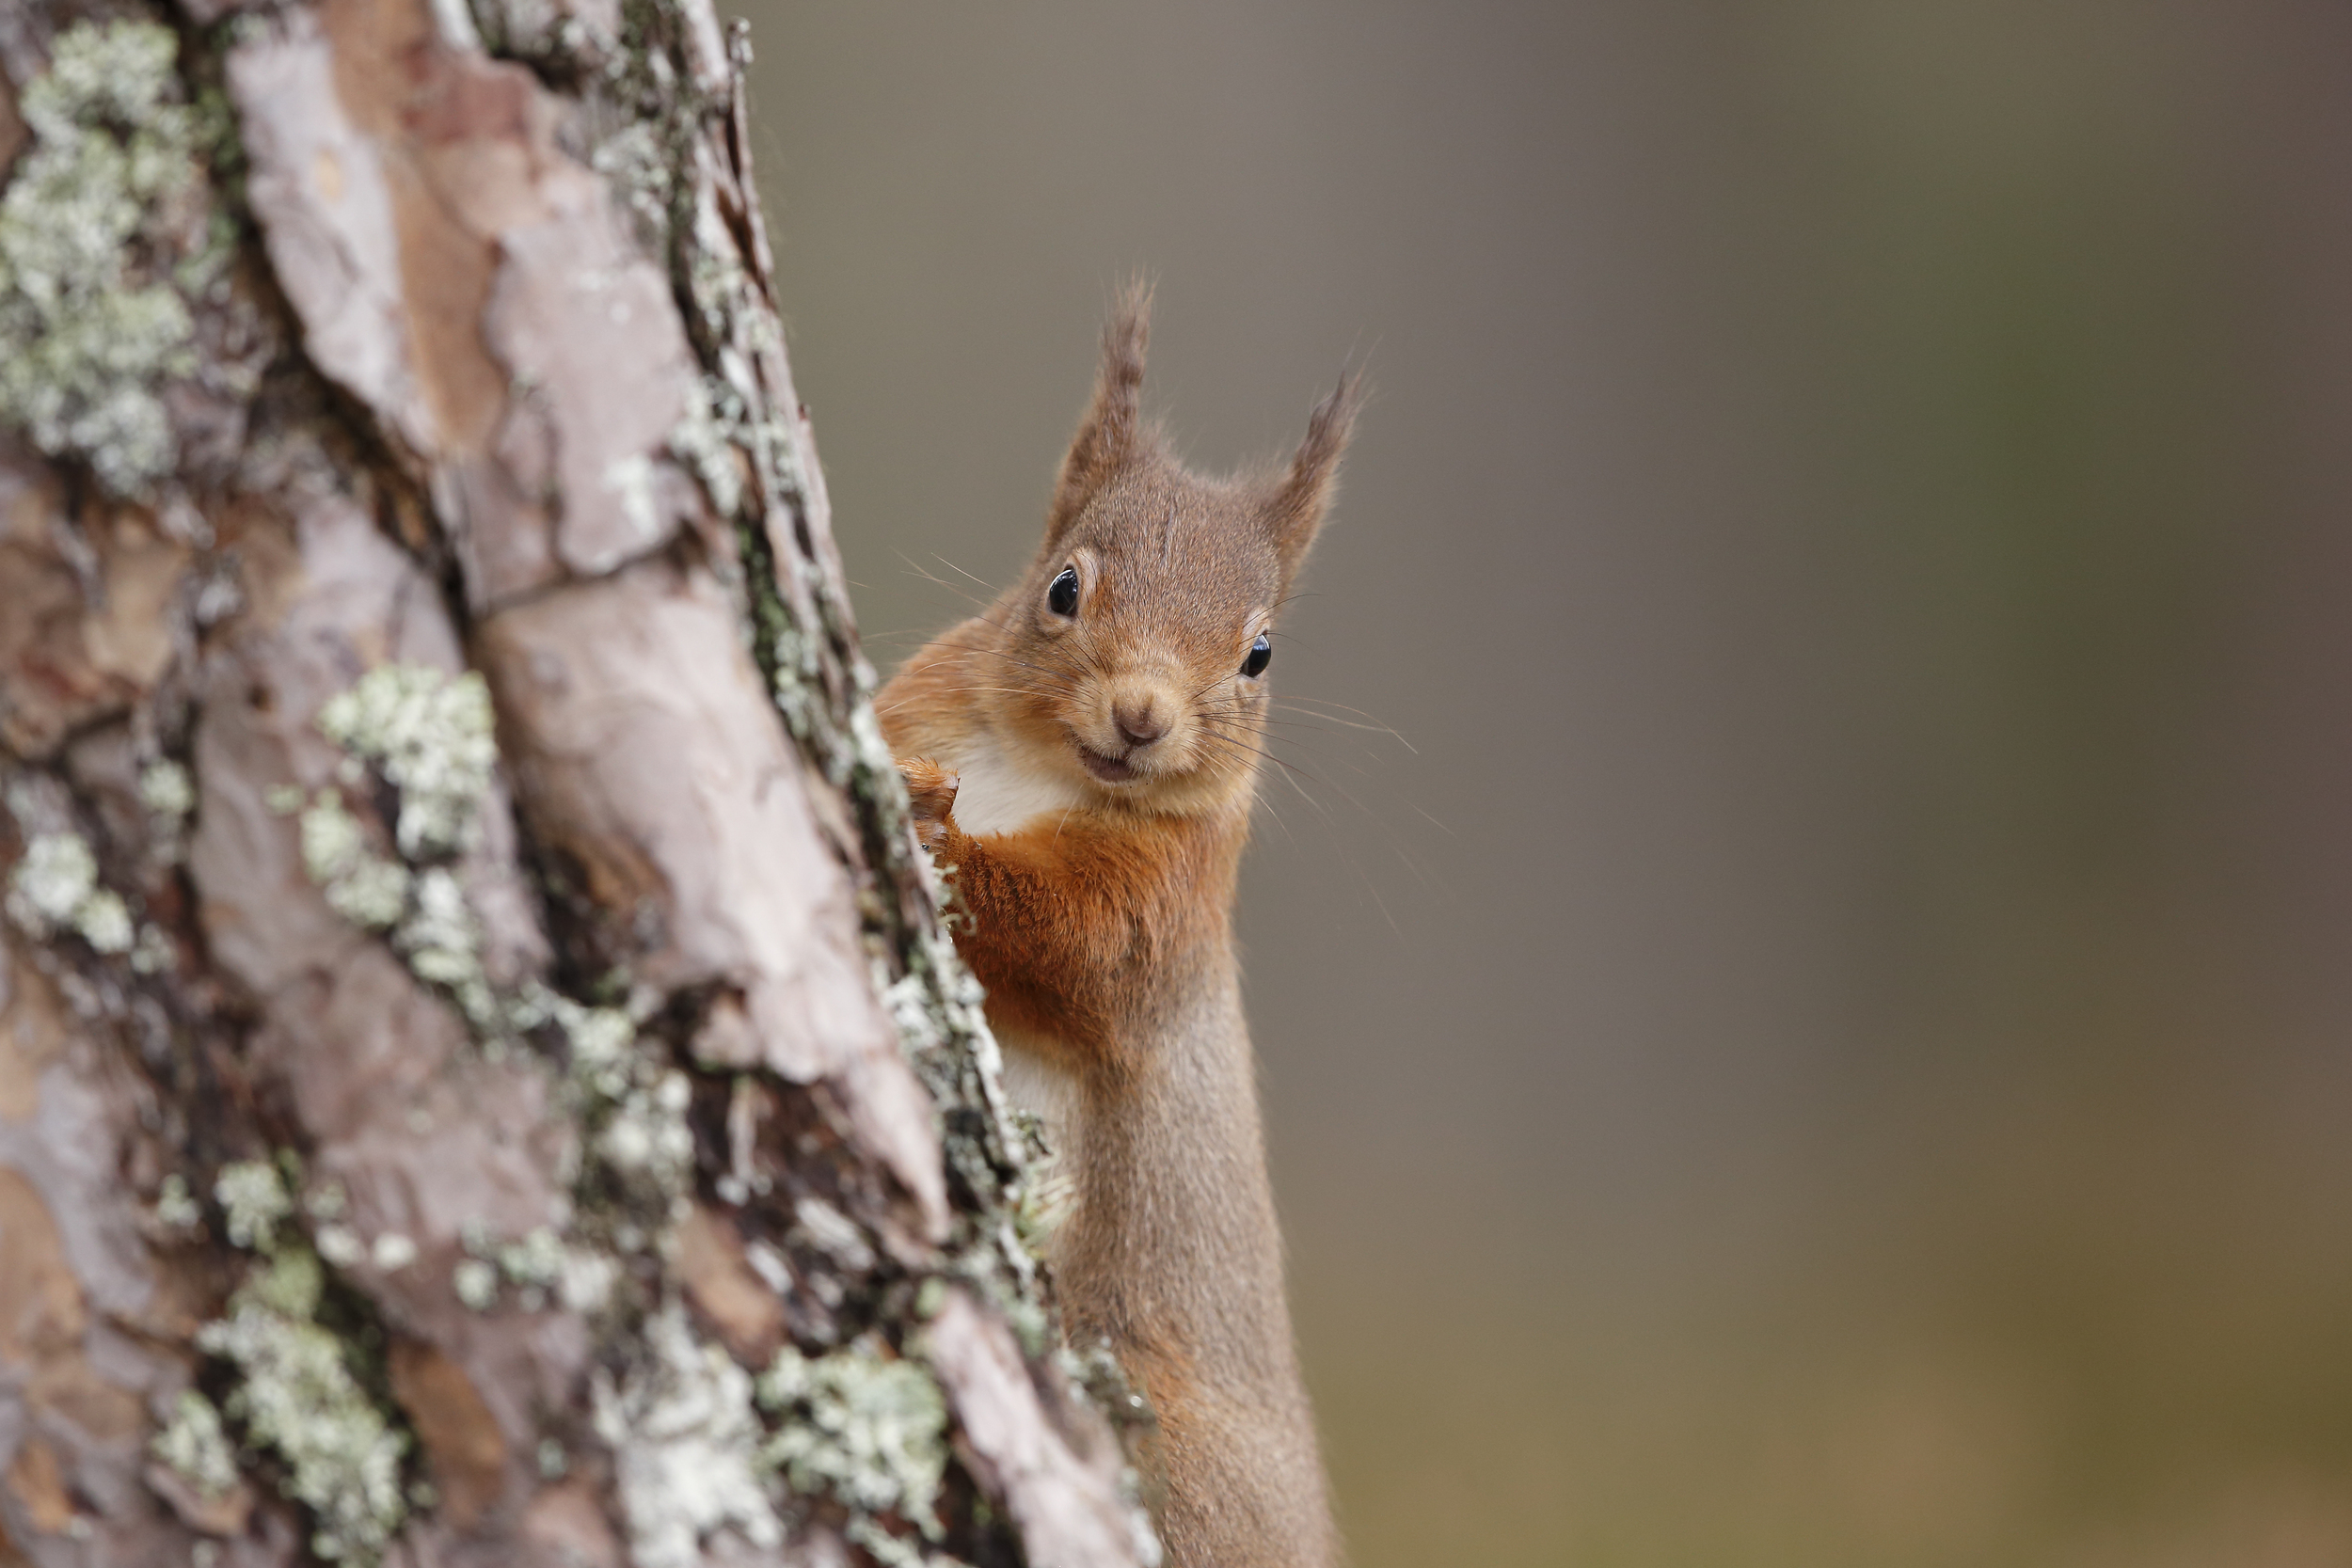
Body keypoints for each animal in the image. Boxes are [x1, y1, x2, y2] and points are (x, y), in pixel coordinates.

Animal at [884, 288, 1364, 1560]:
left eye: (1258, 654)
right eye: (1062, 587)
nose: (1141, 714)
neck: (1037, 769)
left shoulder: (1161, 909)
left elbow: (1066, 940)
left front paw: (941, 840)